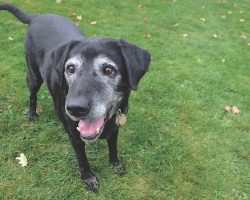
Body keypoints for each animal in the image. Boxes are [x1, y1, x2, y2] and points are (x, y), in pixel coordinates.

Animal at [0, 3, 150, 192]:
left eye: (108, 69)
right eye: (70, 68)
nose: (75, 108)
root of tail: (37, 16)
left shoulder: (115, 127)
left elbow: (113, 148)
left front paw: (115, 164)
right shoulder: (75, 137)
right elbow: (83, 160)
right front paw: (88, 178)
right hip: (34, 76)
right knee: (32, 95)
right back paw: (32, 114)